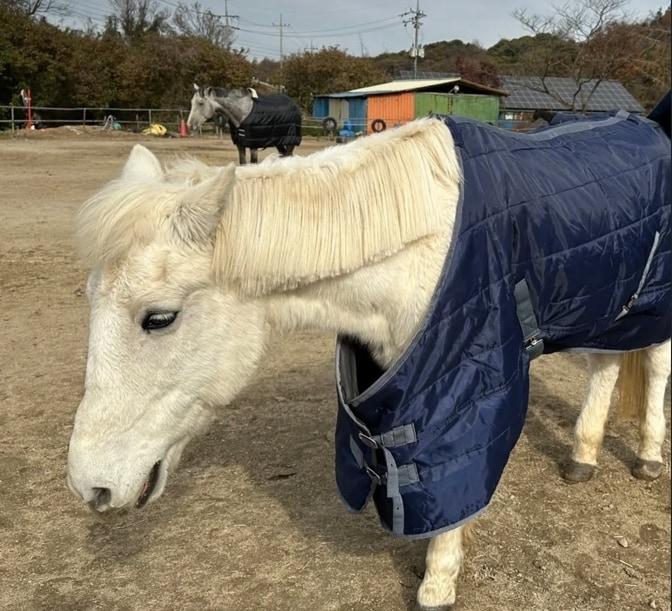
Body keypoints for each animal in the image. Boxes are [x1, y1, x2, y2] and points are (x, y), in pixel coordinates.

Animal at [67, 118, 668, 608]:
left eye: (158, 318)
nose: (89, 486)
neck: (418, 244)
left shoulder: (468, 381)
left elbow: (454, 479)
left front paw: (438, 582)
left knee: (655, 371)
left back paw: (647, 457)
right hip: (608, 310)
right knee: (606, 368)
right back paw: (582, 457)